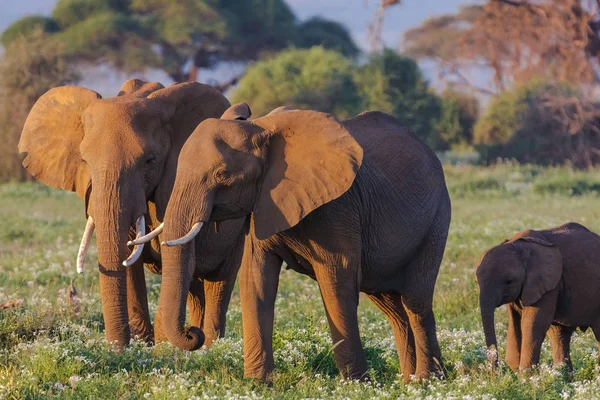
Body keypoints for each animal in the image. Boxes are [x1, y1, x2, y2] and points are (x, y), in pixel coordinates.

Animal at [18, 79, 245, 348]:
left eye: (149, 160)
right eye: (85, 161)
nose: (114, 349)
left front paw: (161, 350)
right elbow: (128, 261)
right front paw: (135, 347)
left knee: (219, 282)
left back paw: (209, 344)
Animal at [145, 104, 452, 382]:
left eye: (222, 174)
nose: (193, 333)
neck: (261, 128)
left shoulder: (337, 206)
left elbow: (337, 283)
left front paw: (355, 385)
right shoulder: (262, 204)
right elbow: (256, 280)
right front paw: (258, 383)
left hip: (436, 219)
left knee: (415, 300)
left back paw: (428, 380)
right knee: (393, 308)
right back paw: (408, 382)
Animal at [476, 222, 600, 372]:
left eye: (509, 281)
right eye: (476, 282)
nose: (494, 373)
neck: (518, 245)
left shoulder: (549, 283)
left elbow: (533, 323)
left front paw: (526, 375)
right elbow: (515, 322)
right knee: (559, 334)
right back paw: (562, 375)